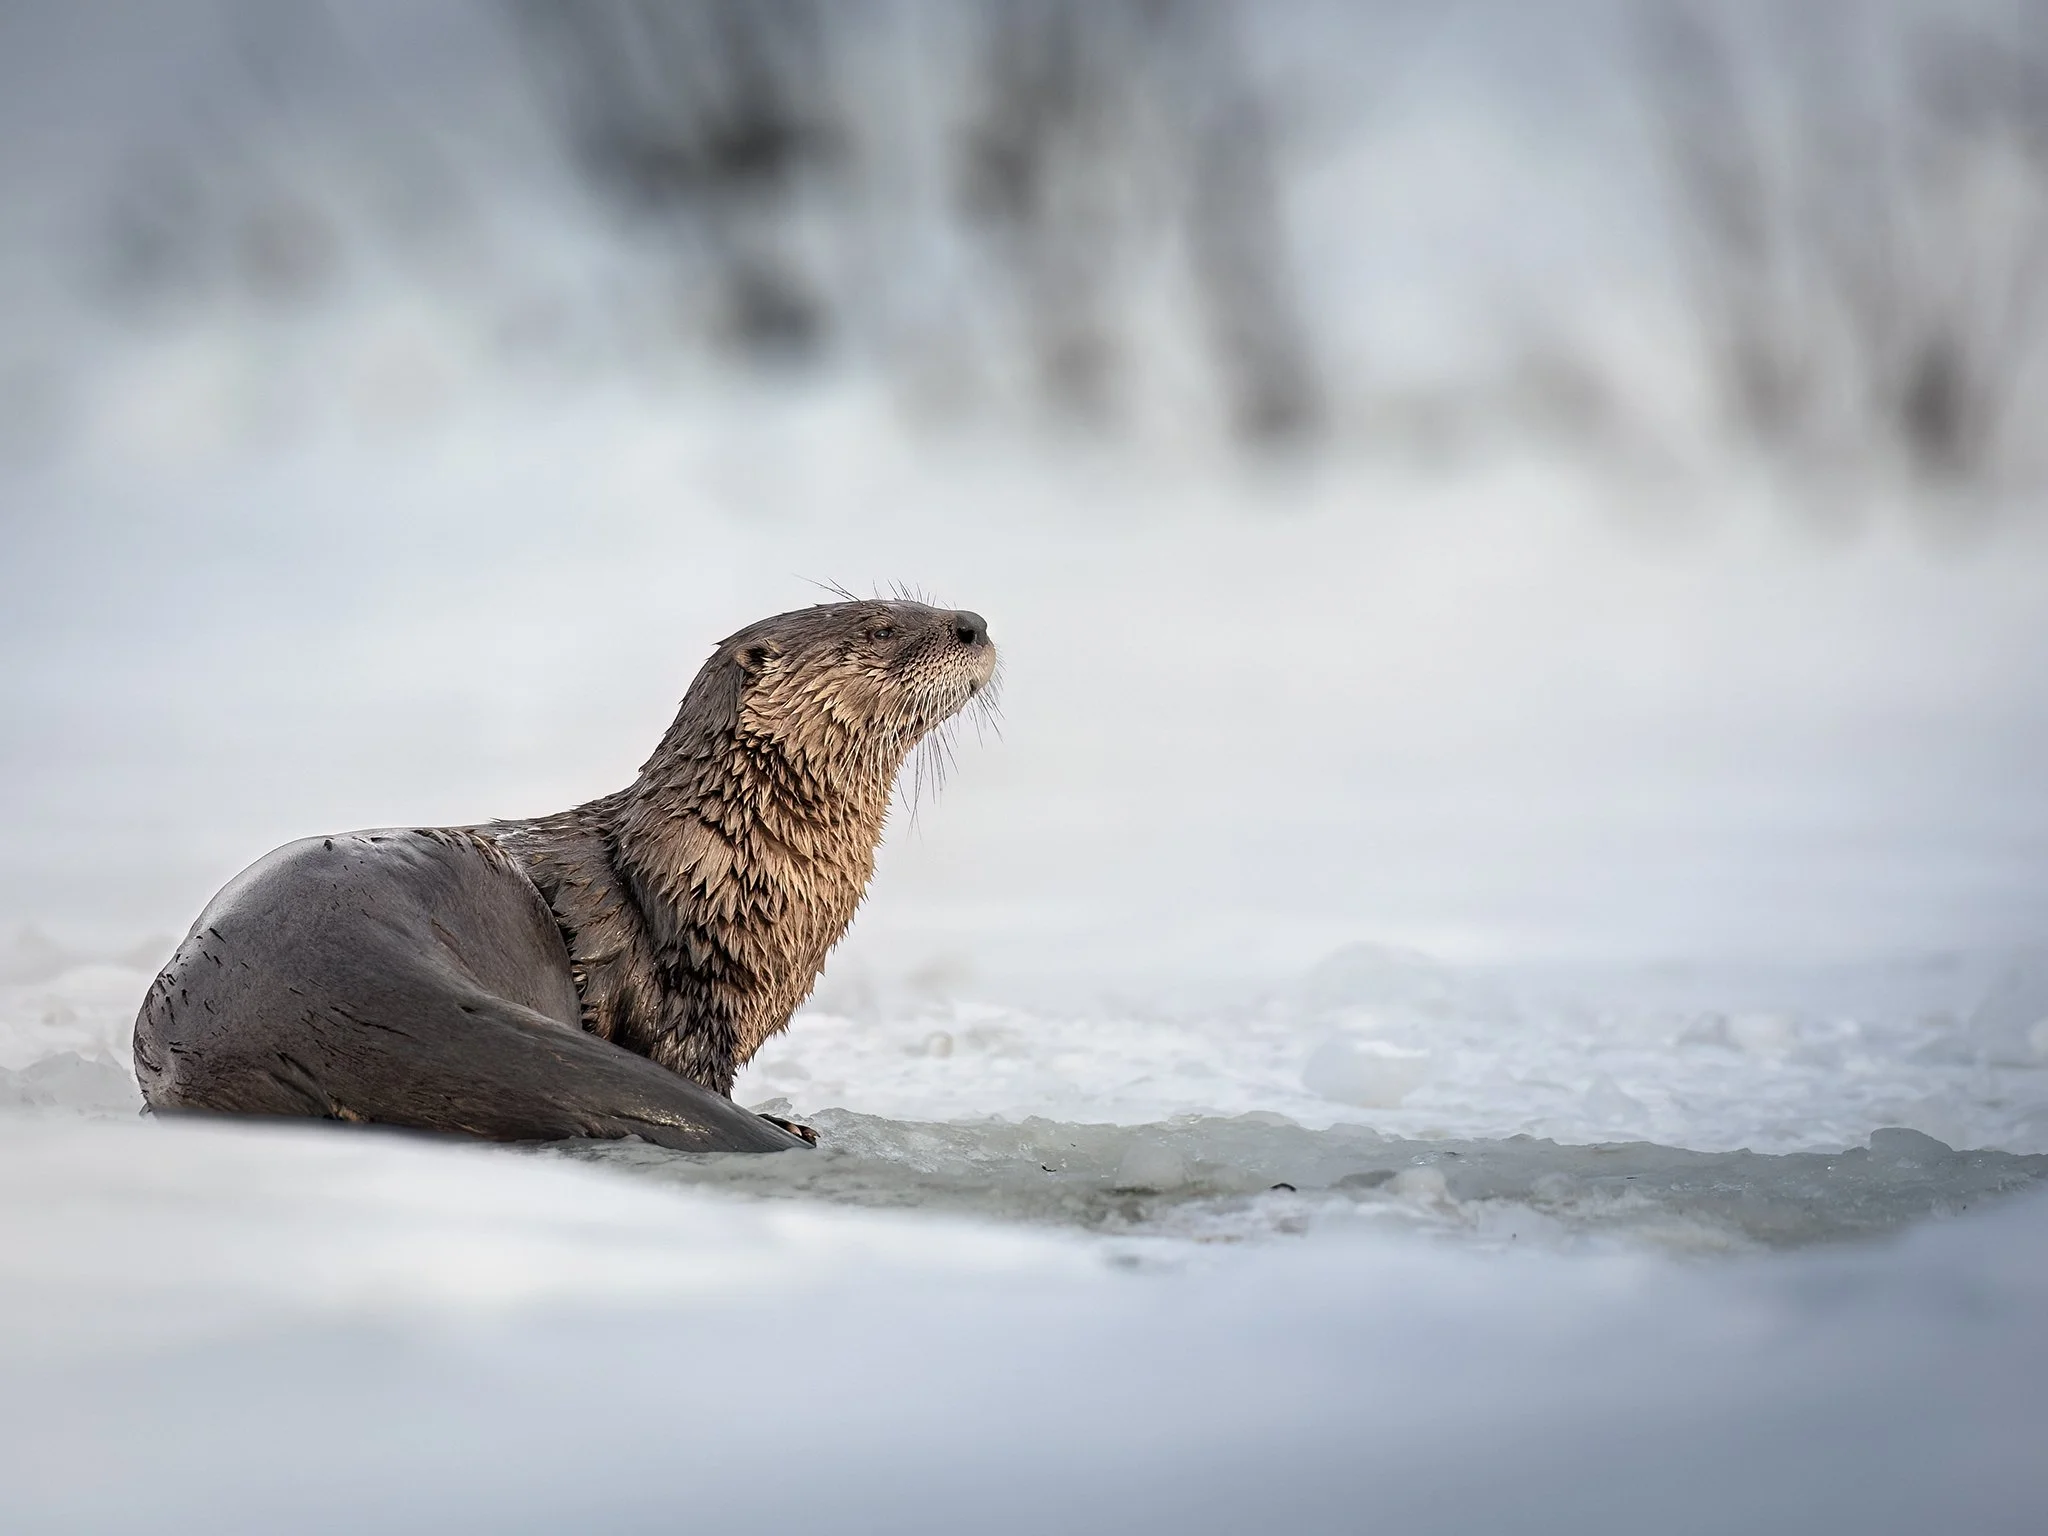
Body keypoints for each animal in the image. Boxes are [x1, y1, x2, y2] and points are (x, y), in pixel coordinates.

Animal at [132, 599, 997, 1153]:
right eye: (880, 625)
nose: (974, 624)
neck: (718, 866)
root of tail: (327, 985)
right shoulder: (691, 1007)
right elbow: (689, 1066)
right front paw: (785, 1122)